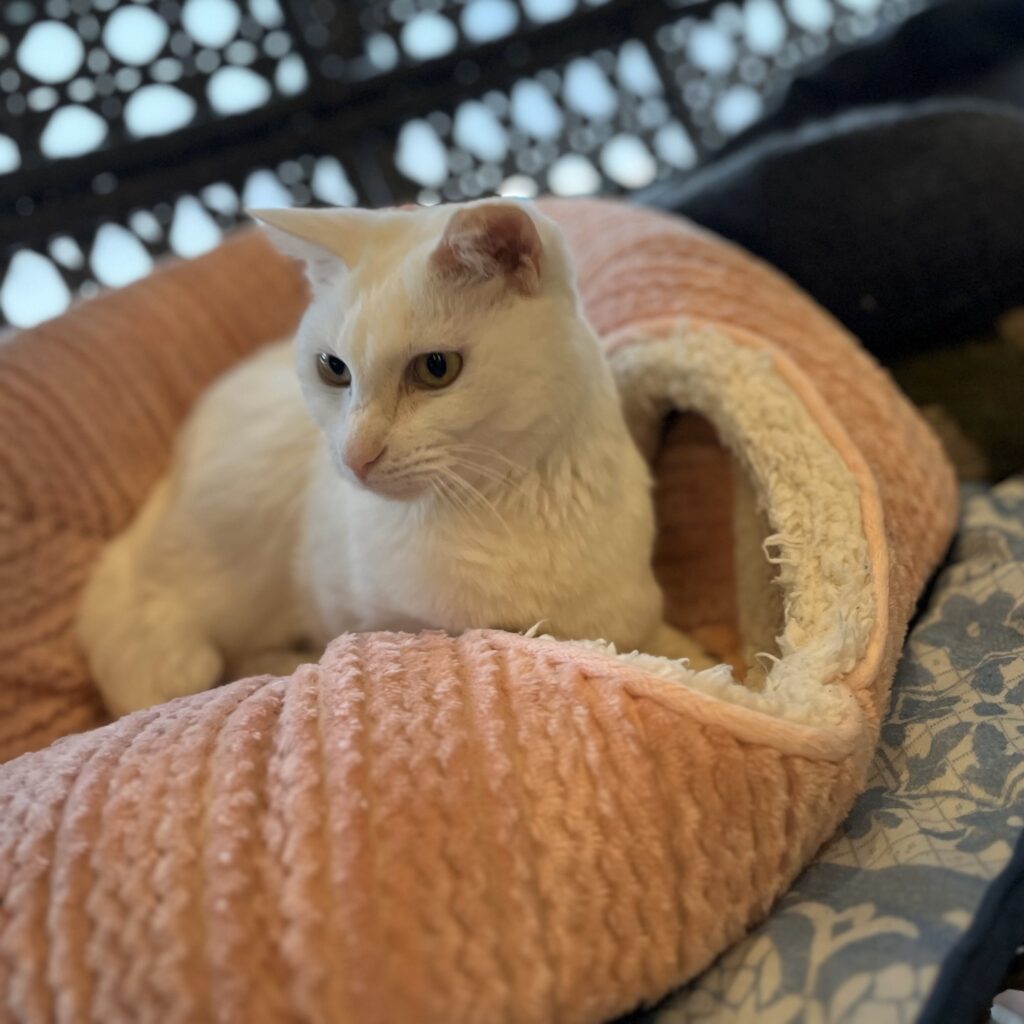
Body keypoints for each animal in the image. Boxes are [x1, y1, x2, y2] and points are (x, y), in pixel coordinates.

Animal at [77, 199, 708, 717]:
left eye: (436, 368)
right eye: (333, 368)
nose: (355, 455)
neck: (506, 501)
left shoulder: (629, 617)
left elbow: (673, 648)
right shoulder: (375, 618)